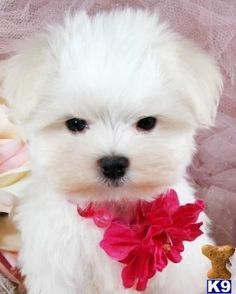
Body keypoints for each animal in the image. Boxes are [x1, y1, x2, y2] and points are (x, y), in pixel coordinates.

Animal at [0, 8, 221, 294]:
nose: (114, 164)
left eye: (147, 123)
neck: (111, 207)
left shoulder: (181, 274)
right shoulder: (58, 266)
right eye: (75, 124)